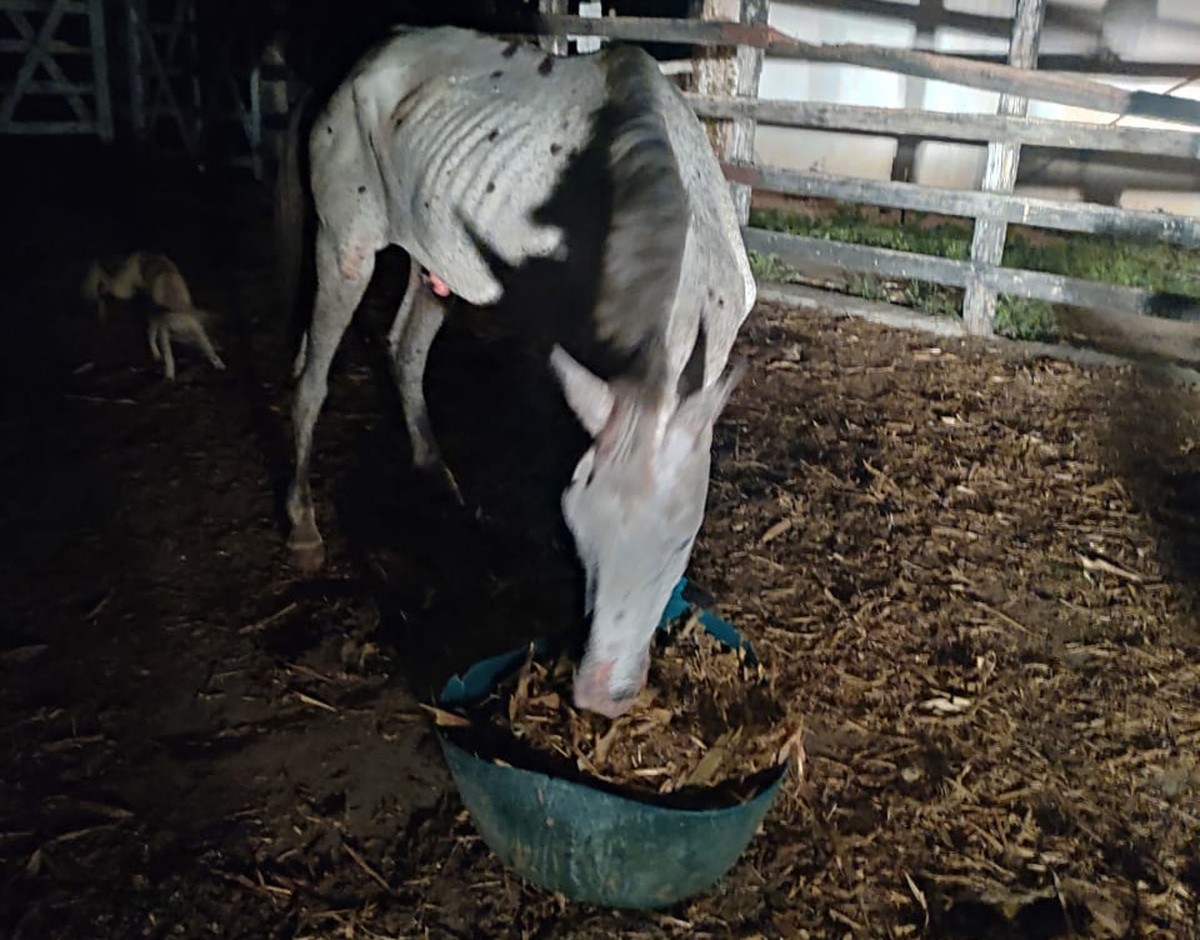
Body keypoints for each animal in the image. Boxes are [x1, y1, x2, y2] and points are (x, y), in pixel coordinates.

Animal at [277, 26, 756, 718]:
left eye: (679, 541)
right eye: (578, 528)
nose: (602, 695)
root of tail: (355, 63)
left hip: (434, 260)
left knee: (405, 348)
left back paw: (436, 473)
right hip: (345, 246)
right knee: (312, 379)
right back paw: (304, 526)